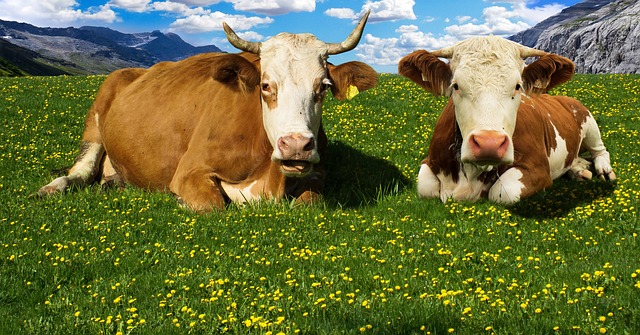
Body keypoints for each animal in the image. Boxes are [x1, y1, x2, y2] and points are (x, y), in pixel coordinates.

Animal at [37, 13, 378, 213]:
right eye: (266, 85)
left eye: (323, 86)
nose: (296, 145)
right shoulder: (190, 169)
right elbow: (213, 205)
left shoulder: (318, 171)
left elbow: (310, 202)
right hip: (95, 120)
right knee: (80, 171)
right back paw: (50, 189)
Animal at [400, 36, 616, 205]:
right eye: (456, 86)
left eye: (518, 86)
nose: (489, 143)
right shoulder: (429, 162)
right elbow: (425, 187)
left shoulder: (538, 170)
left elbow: (503, 191)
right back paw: (579, 169)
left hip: (588, 121)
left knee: (600, 151)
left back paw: (604, 170)